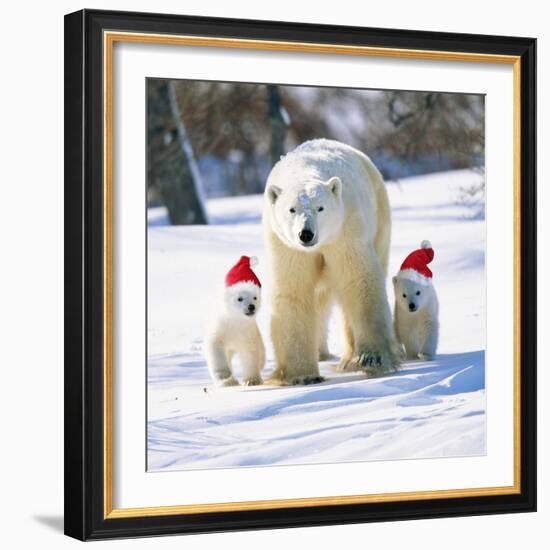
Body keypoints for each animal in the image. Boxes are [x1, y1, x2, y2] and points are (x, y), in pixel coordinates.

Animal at [207, 258, 268, 388]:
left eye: (255, 297)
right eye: (239, 298)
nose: (251, 307)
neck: (235, 321)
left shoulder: (248, 333)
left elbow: (250, 353)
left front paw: (251, 380)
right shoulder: (220, 329)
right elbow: (215, 348)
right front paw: (224, 377)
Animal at [264, 140, 402, 386]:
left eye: (321, 208)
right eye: (292, 209)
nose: (306, 234)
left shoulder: (345, 230)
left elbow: (358, 281)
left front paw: (372, 358)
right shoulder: (286, 245)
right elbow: (293, 291)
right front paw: (302, 375)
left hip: (380, 217)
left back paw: (349, 359)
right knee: (319, 299)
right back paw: (321, 354)